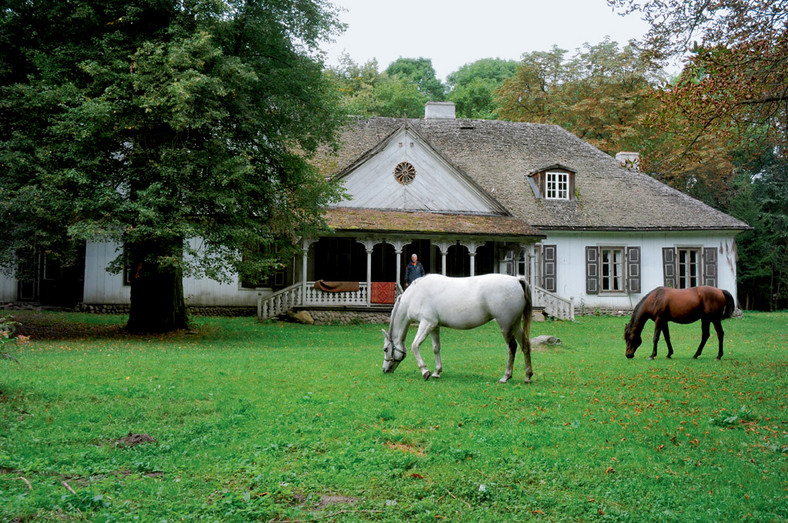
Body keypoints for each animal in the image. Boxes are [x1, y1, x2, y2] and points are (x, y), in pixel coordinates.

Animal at [378, 274, 532, 380]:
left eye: (385, 349)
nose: (384, 370)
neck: (414, 296)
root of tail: (517, 280)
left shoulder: (426, 323)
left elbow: (415, 346)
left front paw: (425, 372)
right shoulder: (434, 327)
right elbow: (436, 348)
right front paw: (436, 372)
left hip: (505, 326)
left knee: (512, 347)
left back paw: (506, 376)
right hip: (515, 325)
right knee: (525, 345)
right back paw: (528, 376)